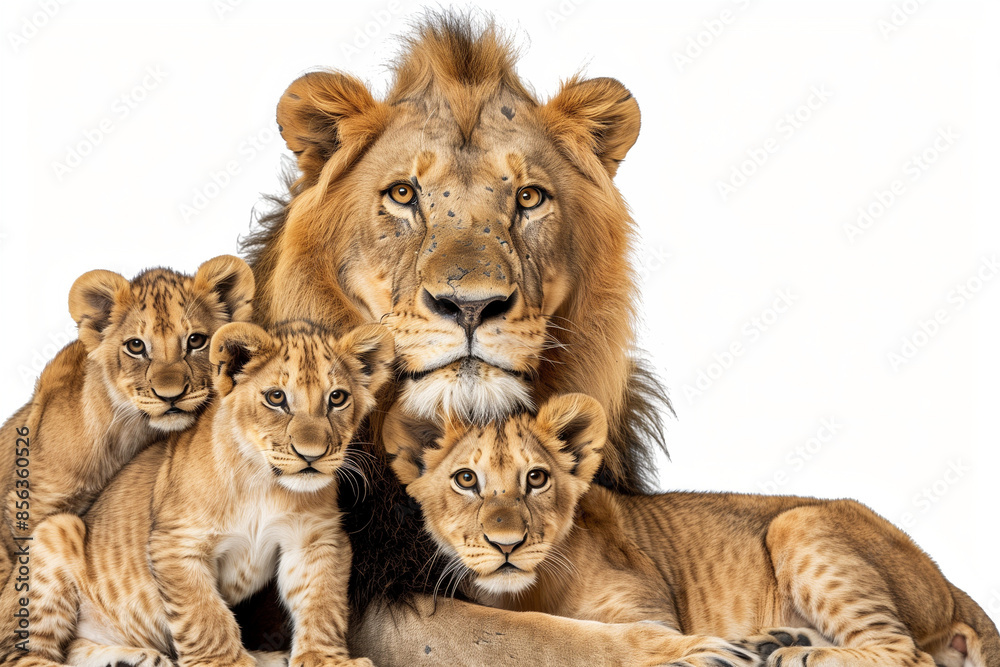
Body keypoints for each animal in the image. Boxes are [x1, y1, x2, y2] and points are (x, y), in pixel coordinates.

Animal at [0, 320, 393, 667]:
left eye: (337, 398)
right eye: (276, 397)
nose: (311, 455)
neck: (263, 483)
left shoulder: (315, 540)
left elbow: (321, 605)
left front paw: (325, 661)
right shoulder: (177, 543)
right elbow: (205, 613)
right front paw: (226, 663)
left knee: (74, 648)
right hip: (55, 532)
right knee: (25, 654)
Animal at [383, 394, 1000, 667]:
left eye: (536, 478)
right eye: (466, 480)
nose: (505, 544)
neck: (523, 591)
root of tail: (951, 585)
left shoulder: (648, 612)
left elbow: (602, 638)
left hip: (797, 522)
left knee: (905, 653)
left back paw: (796, 656)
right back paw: (783, 642)